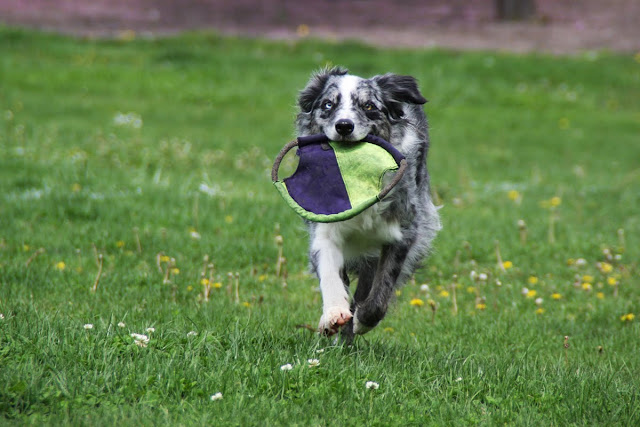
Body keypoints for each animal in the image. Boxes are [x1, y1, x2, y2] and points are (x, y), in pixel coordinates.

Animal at [295, 67, 441, 342]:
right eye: (328, 104)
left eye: (369, 106)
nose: (344, 126)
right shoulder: (325, 230)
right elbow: (330, 274)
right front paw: (334, 314)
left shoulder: (403, 233)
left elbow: (381, 291)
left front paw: (362, 320)